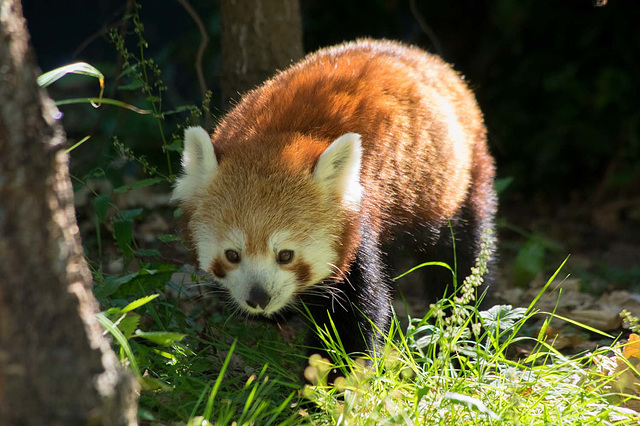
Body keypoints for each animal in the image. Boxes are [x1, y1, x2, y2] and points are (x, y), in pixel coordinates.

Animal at [172, 39, 498, 360]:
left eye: (286, 255)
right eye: (232, 254)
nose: (259, 298)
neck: (277, 138)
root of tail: (421, 55)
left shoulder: (359, 222)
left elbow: (355, 311)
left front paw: (338, 368)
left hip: (460, 180)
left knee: (461, 255)